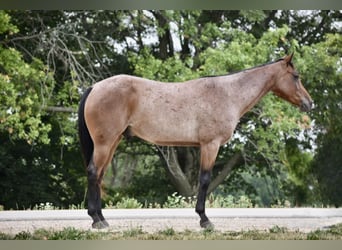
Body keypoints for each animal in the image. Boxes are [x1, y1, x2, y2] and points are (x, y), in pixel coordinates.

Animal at [77, 52, 312, 229]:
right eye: (296, 76)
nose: (309, 103)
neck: (228, 94)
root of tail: (95, 87)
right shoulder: (210, 145)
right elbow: (205, 179)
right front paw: (204, 220)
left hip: (112, 142)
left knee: (99, 176)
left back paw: (101, 219)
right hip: (105, 143)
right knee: (93, 173)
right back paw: (97, 220)